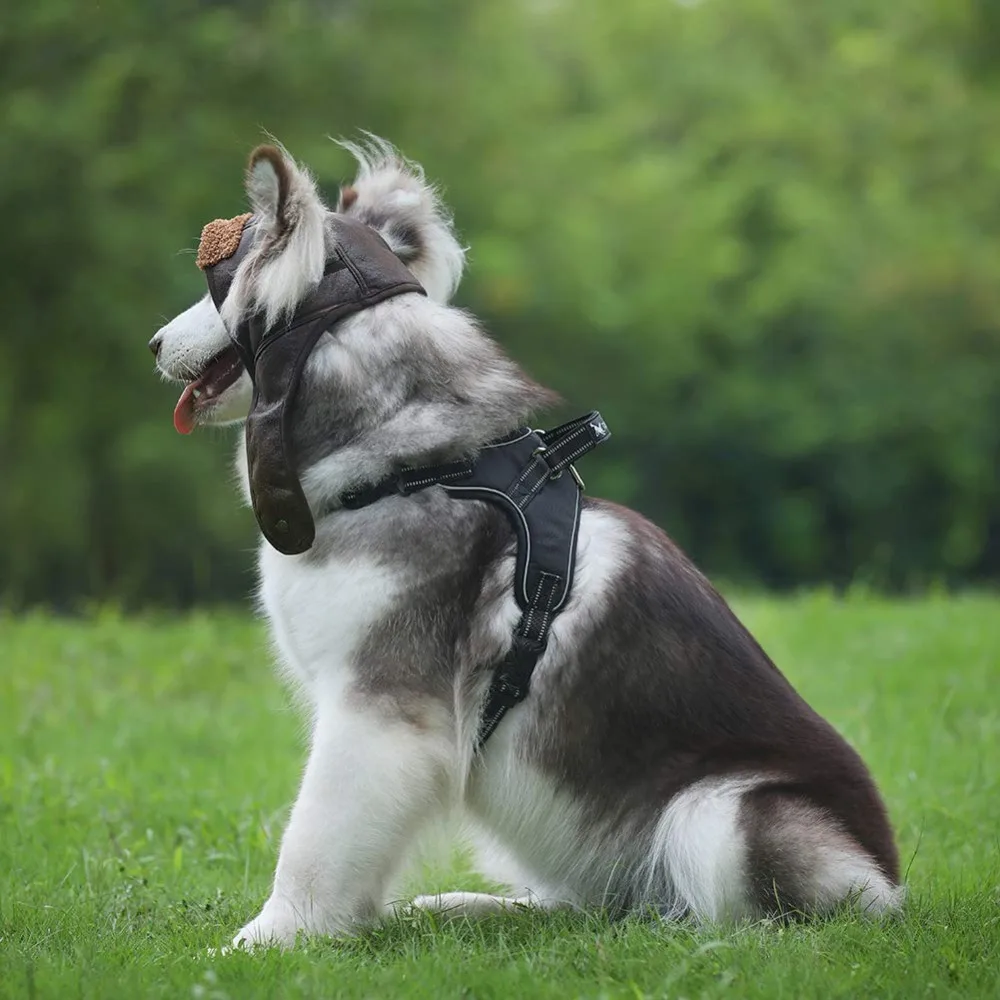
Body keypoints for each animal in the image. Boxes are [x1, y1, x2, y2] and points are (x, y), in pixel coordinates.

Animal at [150, 135, 908, 944]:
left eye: (216, 291)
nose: (155, 343)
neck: (413, 467)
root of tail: (890, 883)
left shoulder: (380, 710)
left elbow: (312, 840)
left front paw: (272, 938)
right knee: (589, 906)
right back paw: (467, 906)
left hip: (722, 811)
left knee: (727, 915)